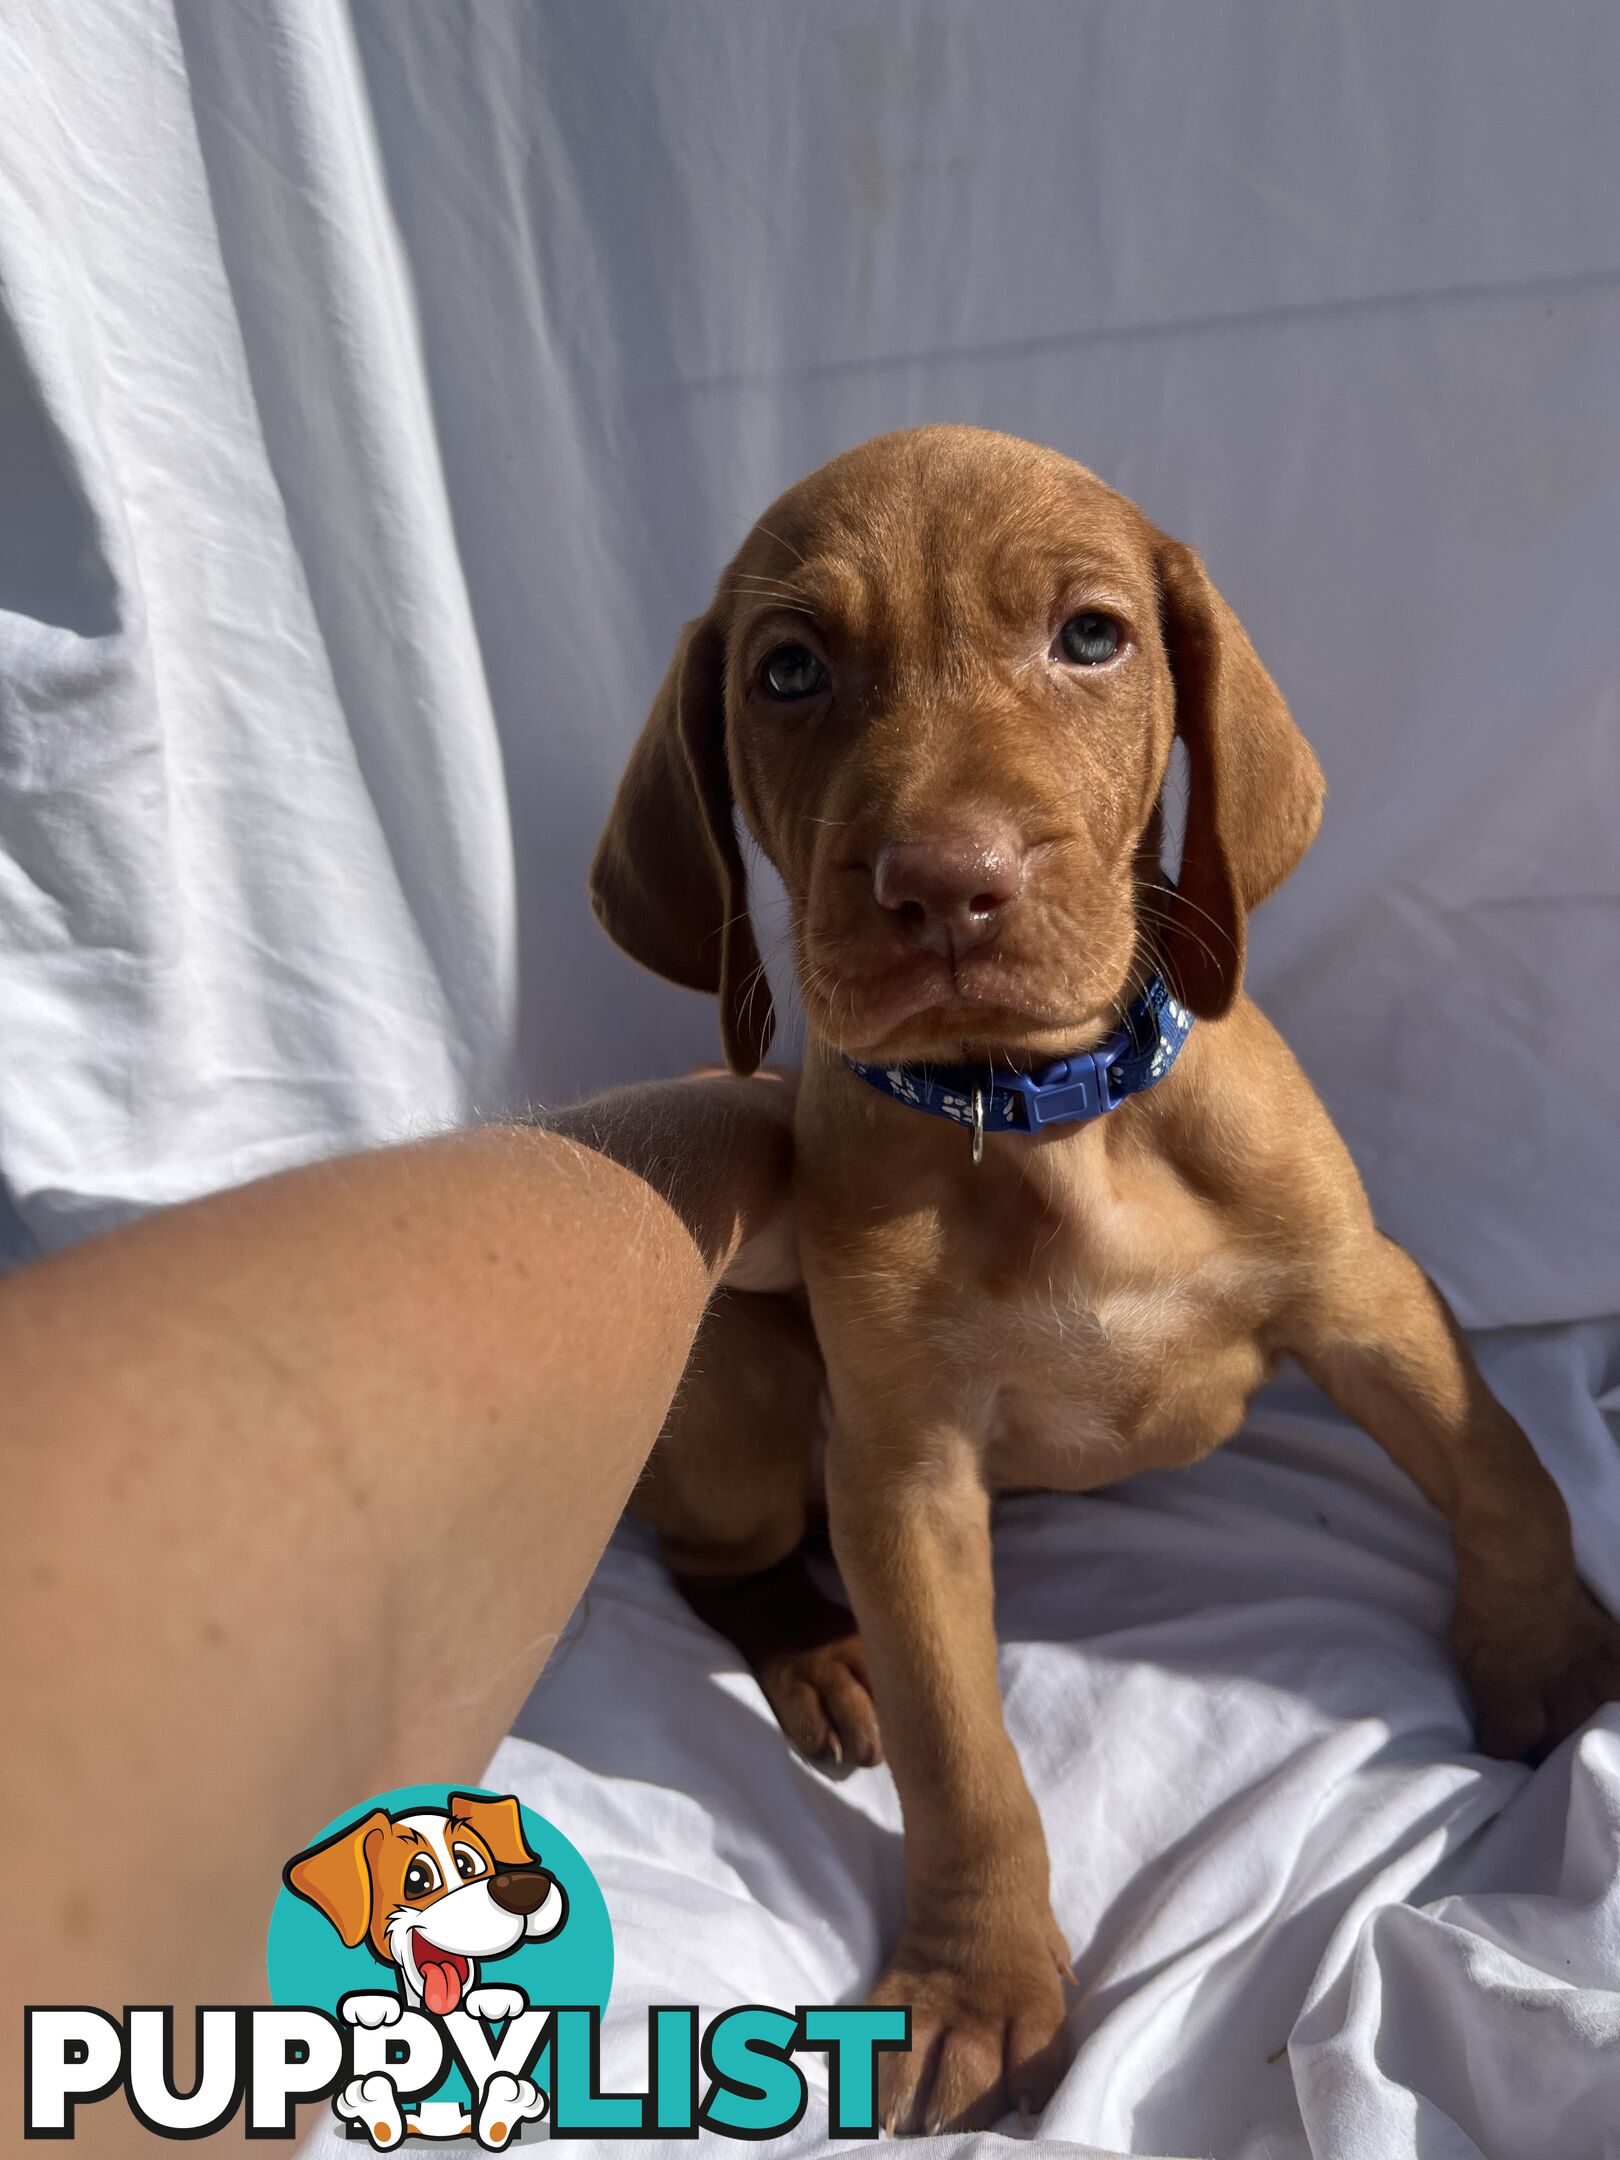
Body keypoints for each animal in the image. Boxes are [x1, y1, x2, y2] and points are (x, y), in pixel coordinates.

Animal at [591, 429, 1615, 2134]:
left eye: (1091, 637)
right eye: (789, 671)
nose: (949, 883)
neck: (1045, 1120)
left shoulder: (1365, 1294)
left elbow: (1505, 1472)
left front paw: (1549, 1662)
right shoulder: (902, 1472)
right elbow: (961, 1759)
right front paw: (975, 1986)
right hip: (735, 1381)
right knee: (709, 1556)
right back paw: (820, 1651)